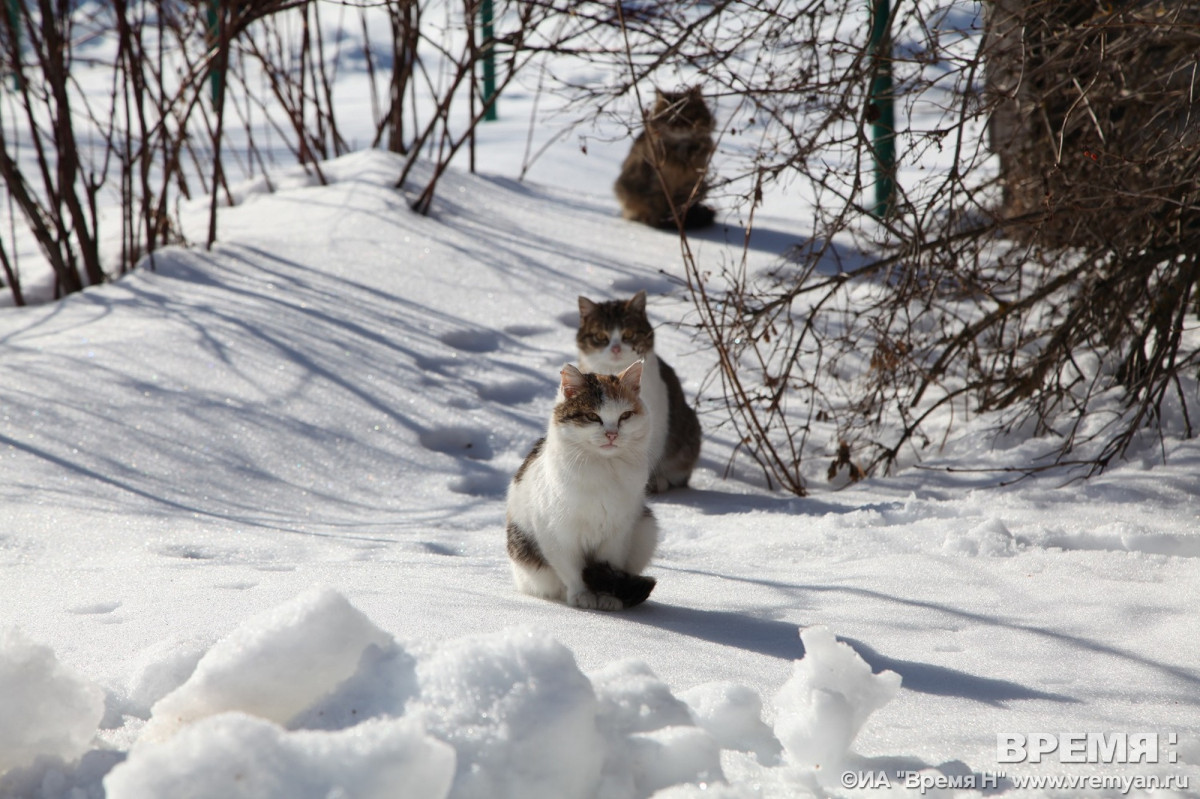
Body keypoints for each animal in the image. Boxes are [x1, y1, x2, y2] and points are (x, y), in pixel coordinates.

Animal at [504, 357, 662, 607]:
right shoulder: (558, 535)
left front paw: (607, 597)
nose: (612, 434)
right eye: (592, 416)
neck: (603, 470)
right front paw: (583, 595)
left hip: (647, 527)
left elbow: (610, 566)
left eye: (625, 416)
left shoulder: (618, 534)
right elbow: (572, 570)